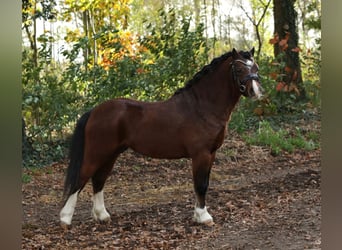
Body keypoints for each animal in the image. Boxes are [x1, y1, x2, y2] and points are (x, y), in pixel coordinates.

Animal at [59, 47, 262, 228]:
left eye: (256, 68)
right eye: (239, 69)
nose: (256, 92)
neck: (202, 107)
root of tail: (94, 111)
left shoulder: (211, 154)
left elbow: (204, 183)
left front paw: (199, 215)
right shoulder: (201, 154)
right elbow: (200, 184)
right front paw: (203, 217)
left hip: (111, 154)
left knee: (98, 180)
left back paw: (102, 216)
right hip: (97, 153)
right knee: (81, 179)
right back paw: (65, 219)